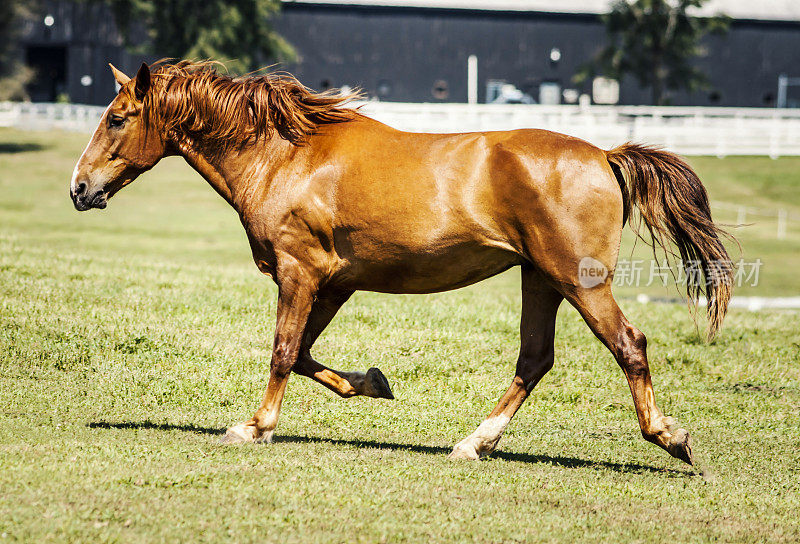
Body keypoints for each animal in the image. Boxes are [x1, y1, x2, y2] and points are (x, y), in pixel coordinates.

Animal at [70, 61, 732, 466]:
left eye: (117, 118)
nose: (80, 189)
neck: (288, 156)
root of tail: (604, 154)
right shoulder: (333, 283)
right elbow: (306, 354)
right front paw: (372, 383)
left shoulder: (299, 273)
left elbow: (283, 351)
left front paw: (254, 427)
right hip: (540, 279)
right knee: (535, 359)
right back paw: (473, 443)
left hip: (579, 281)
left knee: (629, 345)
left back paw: (670, 438)